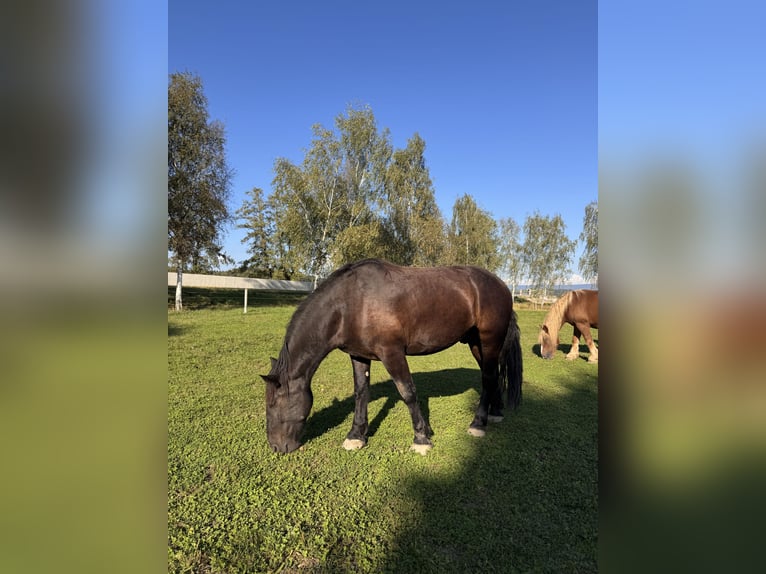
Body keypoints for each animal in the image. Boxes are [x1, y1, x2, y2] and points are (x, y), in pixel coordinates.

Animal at [261, 258, 523, 454]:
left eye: (274, 403)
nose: (276, 447)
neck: (351, 303)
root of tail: (501, 286)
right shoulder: (358, 356)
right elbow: (361, 393)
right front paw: (356, 436)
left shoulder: (392, 353)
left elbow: (407, 392)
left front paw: (421, 438)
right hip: (477, 345)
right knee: (492, 376)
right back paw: (495, 413)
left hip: (489, 341)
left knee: (488, 378)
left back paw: (478, 424)